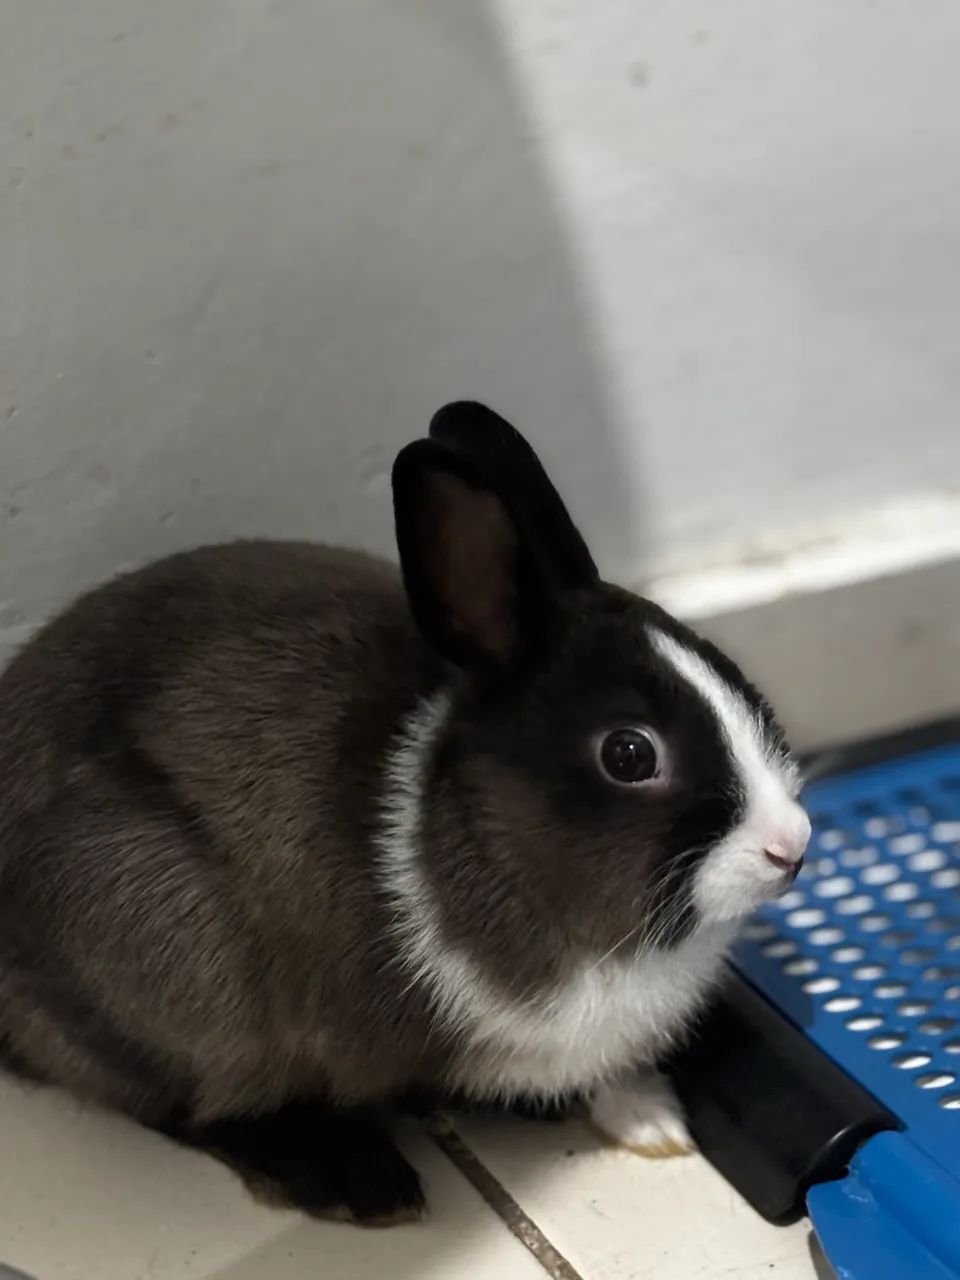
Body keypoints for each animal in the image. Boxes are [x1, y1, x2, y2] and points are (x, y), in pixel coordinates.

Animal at [0, 402, 810, 1224]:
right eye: (629, 754)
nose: (792, 844)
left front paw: (655, 1121)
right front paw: (651, 1120)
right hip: (173, 964)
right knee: (185, 1107)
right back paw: (363, 1184)